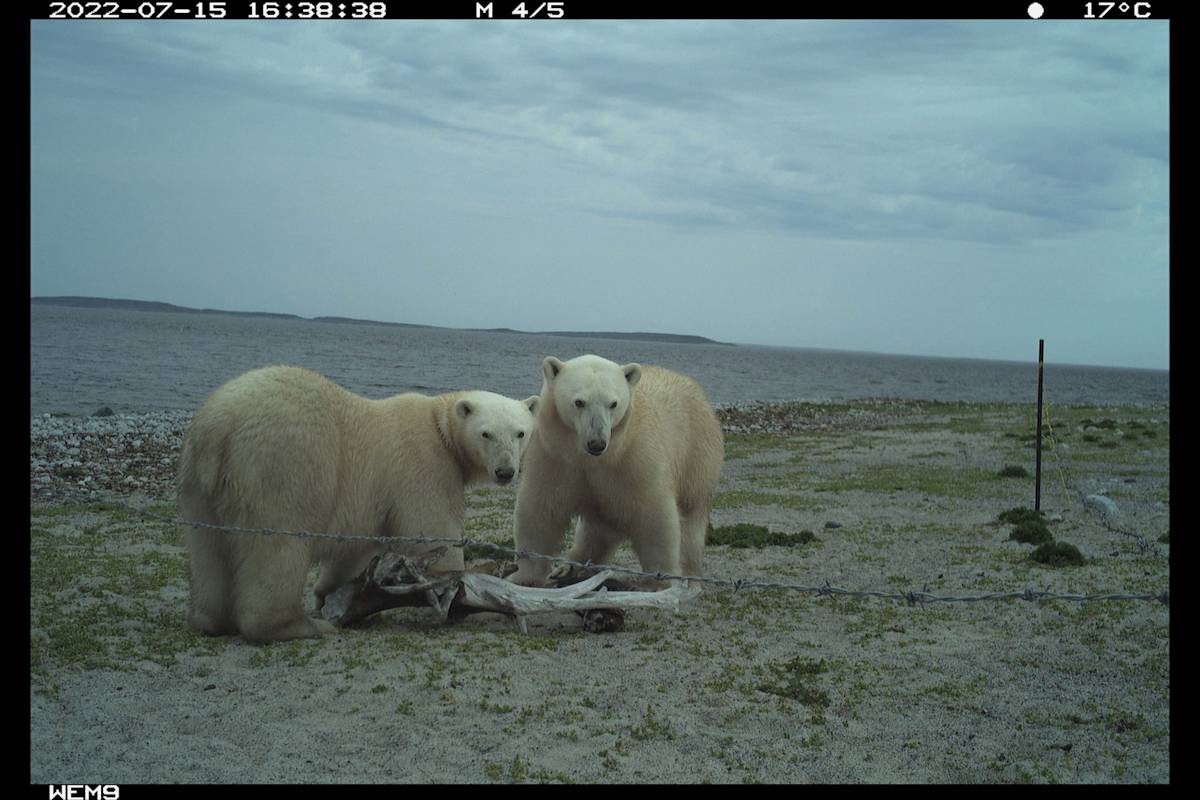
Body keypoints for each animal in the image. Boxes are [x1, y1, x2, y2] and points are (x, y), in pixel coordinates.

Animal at [177, 365, 538, 643]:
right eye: (486, 434)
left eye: (520, 433)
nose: (506, 471)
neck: (439, 425)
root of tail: (220, 425)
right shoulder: (424, 465)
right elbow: (432, 532)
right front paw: (466, 602)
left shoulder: (368, 498)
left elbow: (354, 547)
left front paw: (332, 594)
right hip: (284, 461)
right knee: (279, 544)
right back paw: (297, 626)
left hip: (199, 482)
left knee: (208, 548)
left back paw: (212, 620)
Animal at [508, 354, 724, 588]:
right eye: (579, 402)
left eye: (613, 403)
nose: (597, 443)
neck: (592, 458)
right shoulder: (554, 455)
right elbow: (540, 511)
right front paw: (524, 576)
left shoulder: (635, 458)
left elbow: (654, 515)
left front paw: (658, 582)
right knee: (598, 528)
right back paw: (568, 567)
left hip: (697, 455)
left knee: (691, 521)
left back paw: (692, 580)